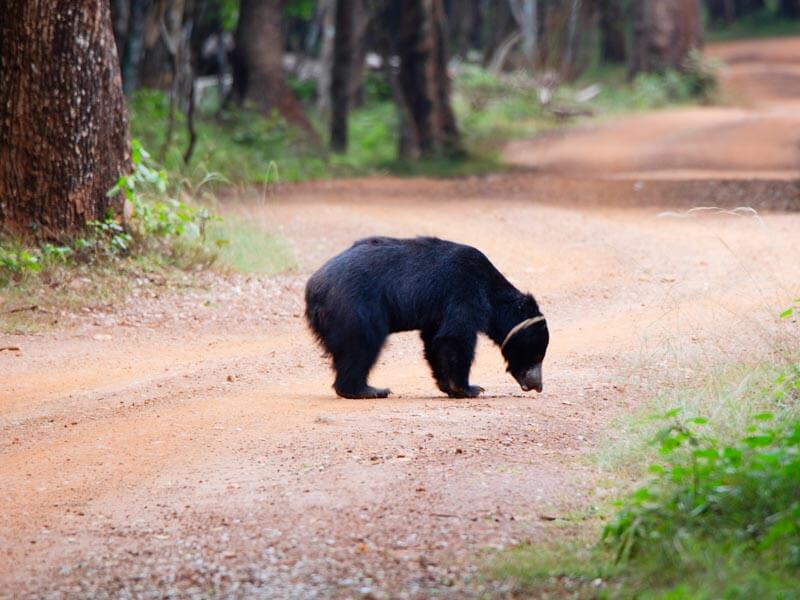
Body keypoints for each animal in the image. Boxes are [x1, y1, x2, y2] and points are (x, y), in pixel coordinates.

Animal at [304, 236, 548, 398]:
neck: (492, 291)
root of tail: (314, 288)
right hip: (356, 308)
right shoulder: (464, 290)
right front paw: (469, 388)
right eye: (537, 354)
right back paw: (369, 390)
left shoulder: (436, 313)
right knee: (361, 346)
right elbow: (457, 336)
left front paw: (447, 386)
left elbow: (435, 341)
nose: (537, 385)